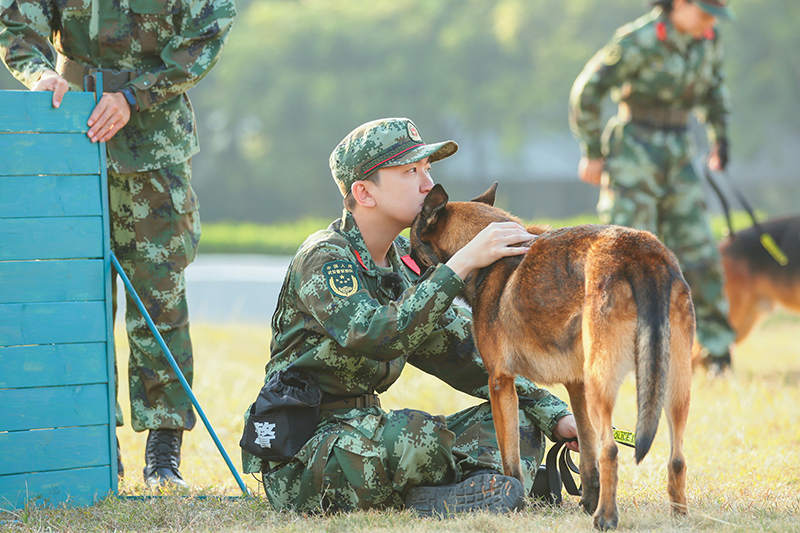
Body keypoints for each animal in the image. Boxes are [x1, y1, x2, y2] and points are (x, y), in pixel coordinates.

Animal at [412, 182, 692, 528]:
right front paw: (587, 499)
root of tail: (641, 251)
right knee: (676, 457)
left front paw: (516, 497)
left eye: (412, 243)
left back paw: (605, 517)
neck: (491, 255)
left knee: (611, 450)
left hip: (603, 384)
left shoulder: (500, 382)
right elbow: (586, 453)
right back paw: (677, 516)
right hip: (674, 388)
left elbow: (511, 458)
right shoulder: (577, 384)